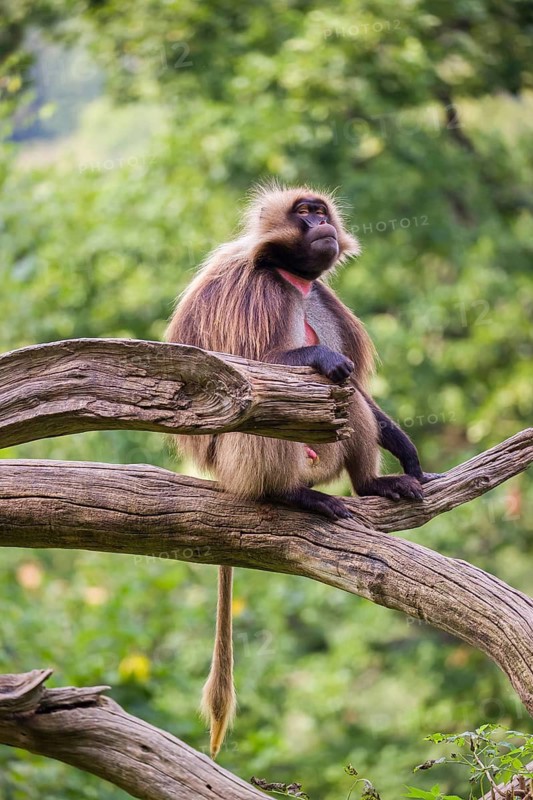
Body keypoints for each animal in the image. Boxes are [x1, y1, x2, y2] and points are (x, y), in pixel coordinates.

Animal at [165, 183, 436, 758]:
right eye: (304, 214)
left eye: (319, 211)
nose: (322, 225)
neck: (291, 279)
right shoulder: (250, 292)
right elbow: (237, 373)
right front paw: (318, 355)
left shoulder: (324, 301)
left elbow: (356, 390)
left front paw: (405, 451)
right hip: (242, 464)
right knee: (272, 404)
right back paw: (291, 496)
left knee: (344, 400)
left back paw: (371, 484)